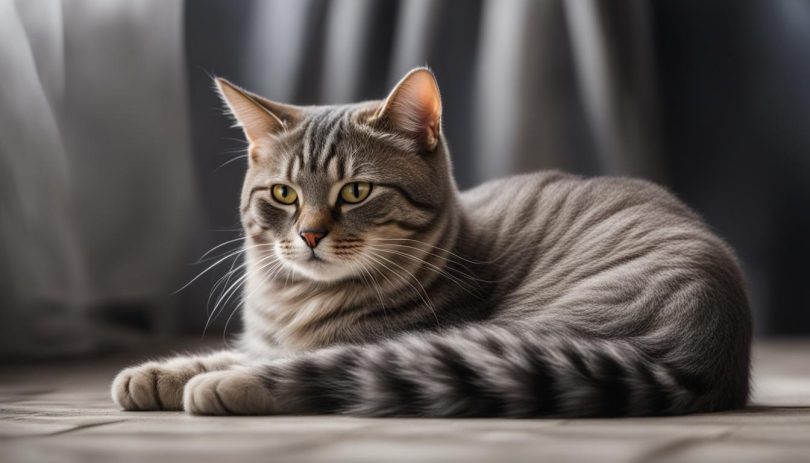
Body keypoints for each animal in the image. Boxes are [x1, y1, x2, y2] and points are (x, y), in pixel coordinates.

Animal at [110, 67, 748, 418]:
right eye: (285, 195)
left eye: (356, 190)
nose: (310, 234)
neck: (292, 302)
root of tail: (707, 358)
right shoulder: (264, 338)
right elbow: (239, 349)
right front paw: (155, 374)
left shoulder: (369, 339)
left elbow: (274, 360)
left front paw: (198, 377)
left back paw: (227, 387)